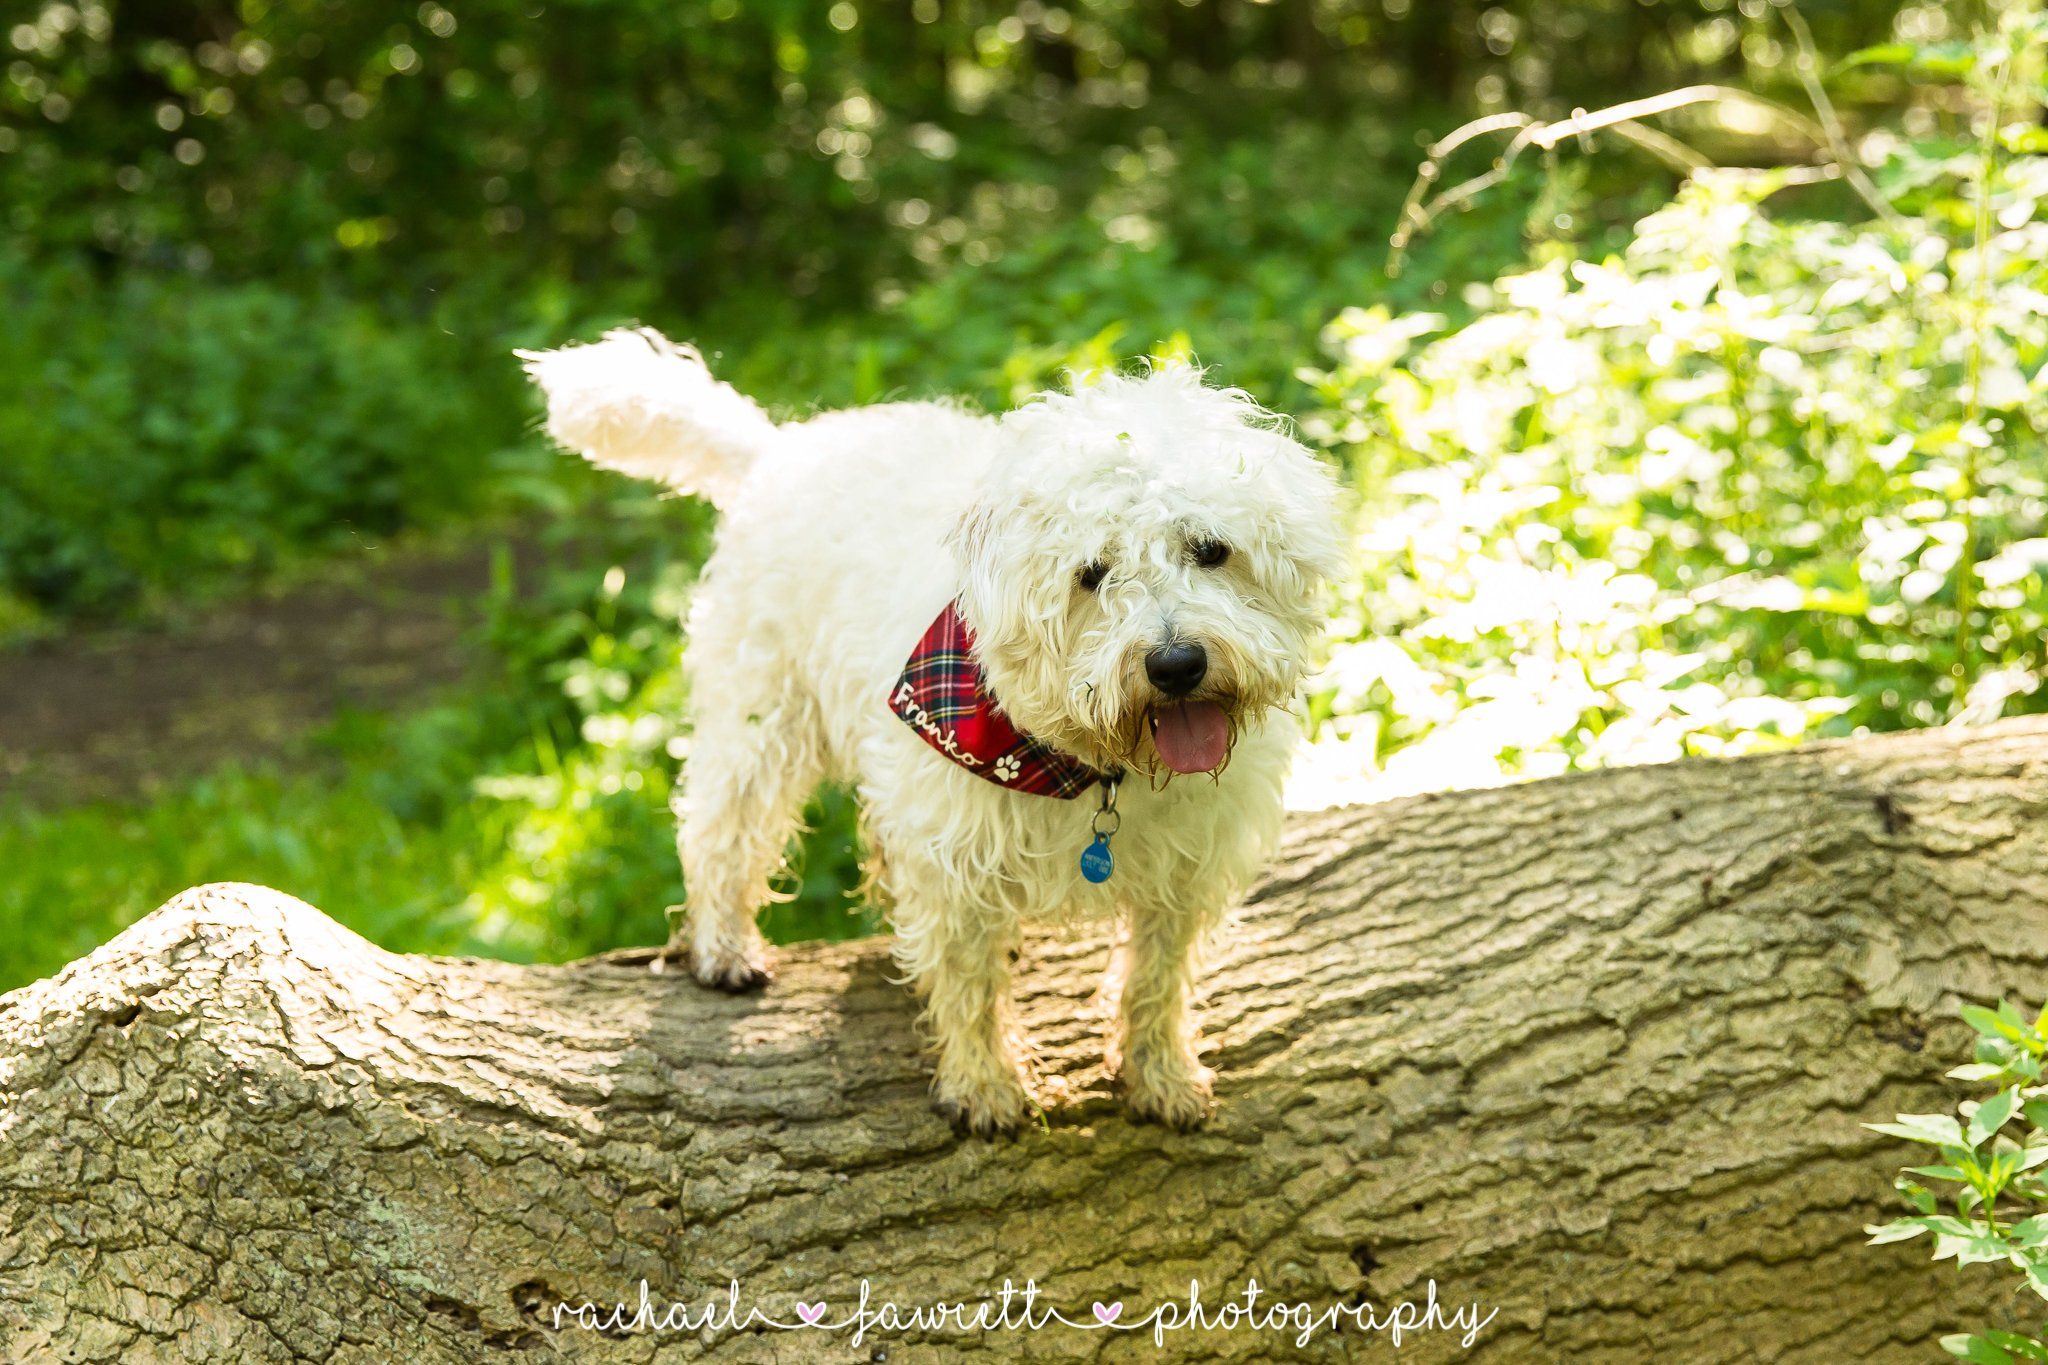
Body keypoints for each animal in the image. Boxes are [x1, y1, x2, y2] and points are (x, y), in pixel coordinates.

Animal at [520, 331, 1343, 1129]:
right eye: (1091, 573)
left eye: (1211, 549)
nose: (1176, 664)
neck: (1096, 766)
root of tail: (780, 449)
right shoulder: (957, 864)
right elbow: (969, 985)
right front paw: (983, 1086)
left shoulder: (1187, 868)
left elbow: (1157, 979)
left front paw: (1160, 1073)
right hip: (761, 717)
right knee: (720, 825)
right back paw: (723, 945)